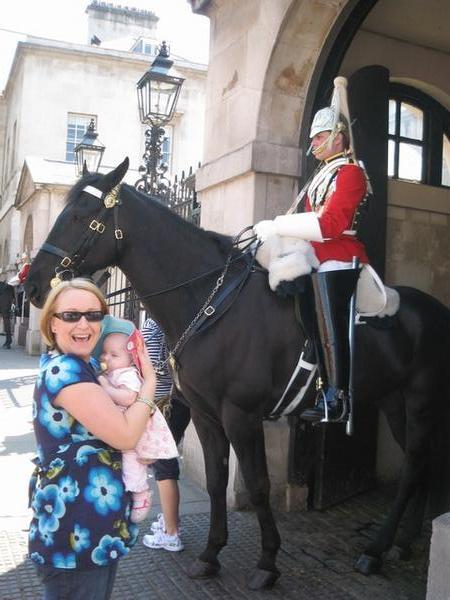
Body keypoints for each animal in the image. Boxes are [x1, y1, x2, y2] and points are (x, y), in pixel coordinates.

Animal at [25, 158, 450, 584]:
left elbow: (258, 483)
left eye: (79, 215)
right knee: (422, 463)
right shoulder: (205, 414)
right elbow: (216, 480)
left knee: (415, 463)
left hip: (420, 400)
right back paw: (401, 543)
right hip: (392, 400)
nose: (31, 283)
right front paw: (211, 554)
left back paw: (376, 550)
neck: (210, 300)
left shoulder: (241, 414)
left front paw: (267, 561)